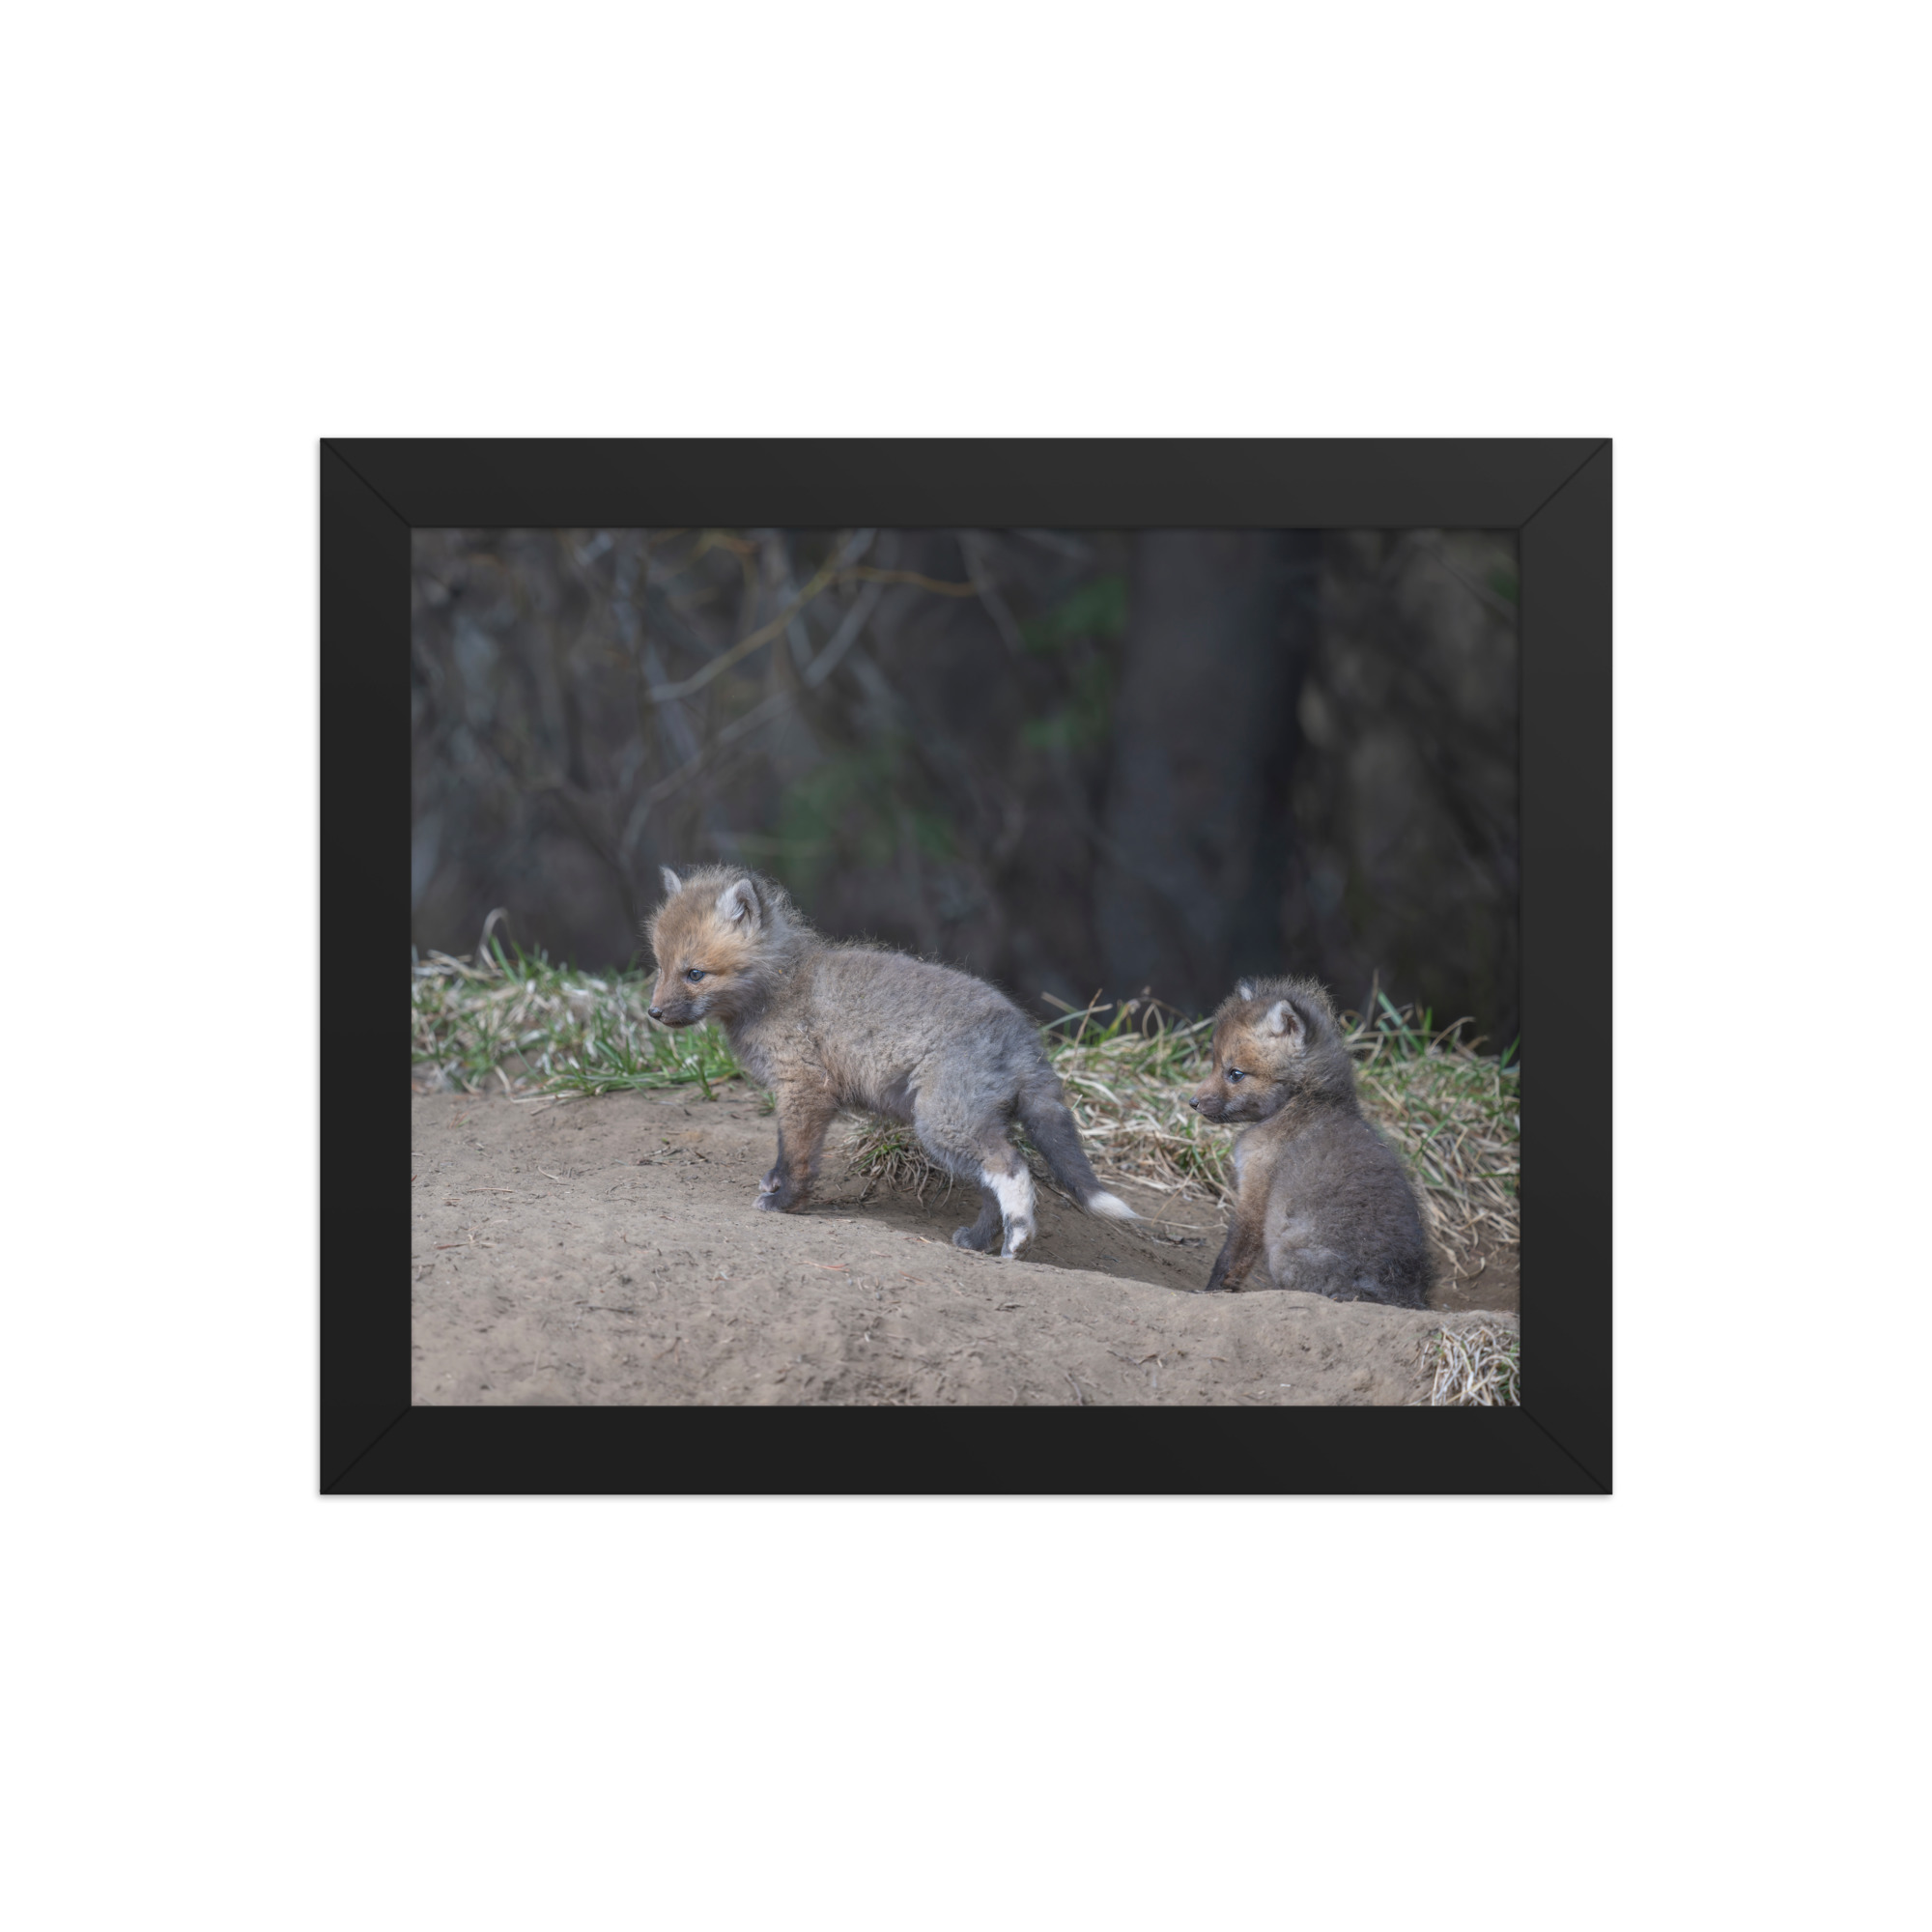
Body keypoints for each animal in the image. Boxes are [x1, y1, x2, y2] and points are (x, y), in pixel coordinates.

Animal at [645, 866, 1135, 1259]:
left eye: (695, 974)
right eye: (660, 967)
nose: (653, 1013)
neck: (779, 987)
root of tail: (1024, 1035)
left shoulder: (804, 1087)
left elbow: (797, 1156)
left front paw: (785, 1203)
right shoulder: (799, 1094)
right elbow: (786, 1150)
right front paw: (776, 1185)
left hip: (942, 1123)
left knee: (1013, 1167)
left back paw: (1018, 1240)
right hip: (963, 1128)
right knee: (991, 1188)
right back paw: (979, 1242)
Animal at [1189, 976, 1433, 1307]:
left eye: (1235, 1074)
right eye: (1215, 1064)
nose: (1192, 1102)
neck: (1304, 1102)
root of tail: (1399, 1295)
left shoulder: (1255, 1191)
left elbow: (1232, 1256)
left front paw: (1211, 1292)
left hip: (1283, 1254)